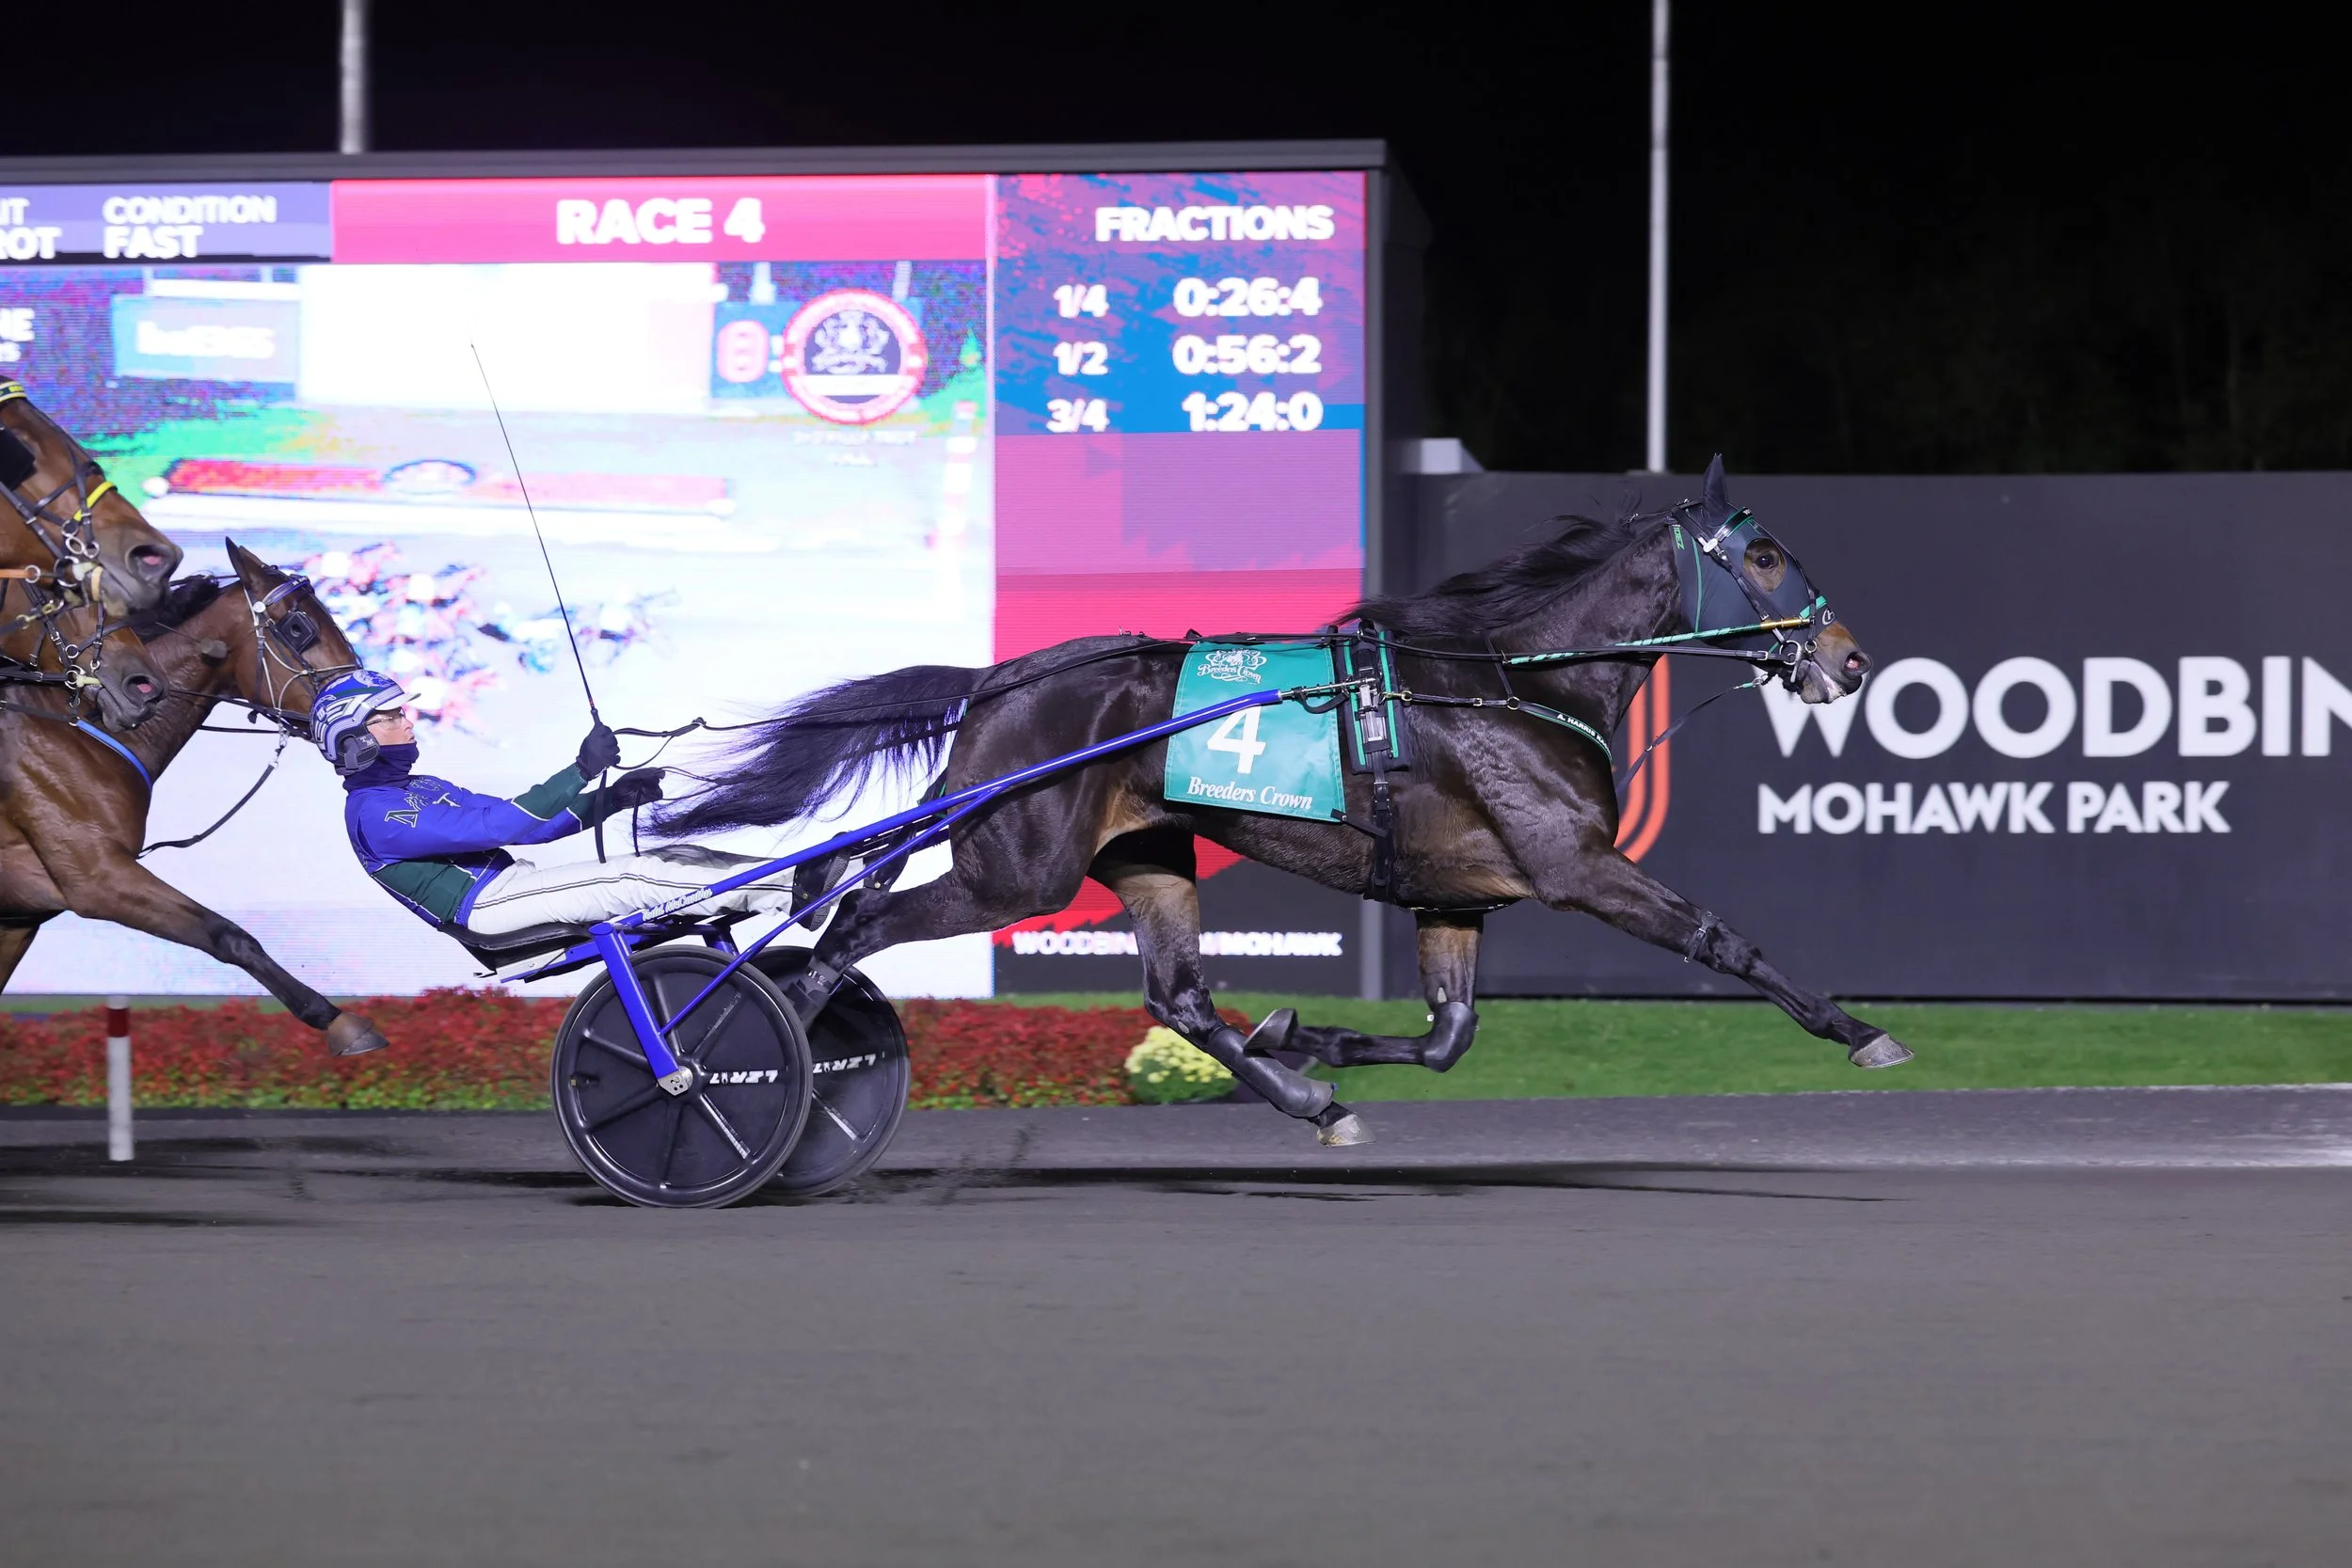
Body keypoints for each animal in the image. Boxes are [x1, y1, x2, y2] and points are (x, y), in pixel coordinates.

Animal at [0, 544, 390, 1058]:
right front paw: (338, 1019)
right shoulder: (95, 876)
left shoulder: (19, 918)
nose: (376, 715)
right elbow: (227, 935)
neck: (78, 726)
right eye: (298, 628)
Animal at [660, 458, 1901, 1146]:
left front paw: (1312, 1034)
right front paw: (1860, 1030)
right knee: (852, 925)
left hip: (1147, 852)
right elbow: (1718, 937)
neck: (1511, 679)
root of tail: (999, 680)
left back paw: (1308, 1097)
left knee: (1177, 997)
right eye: (1765, 552)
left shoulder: (1457, 893)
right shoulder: (1576, 865)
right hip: (1015, 866)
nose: (1847, 658)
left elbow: (1447, 1036)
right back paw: (736, 1065)